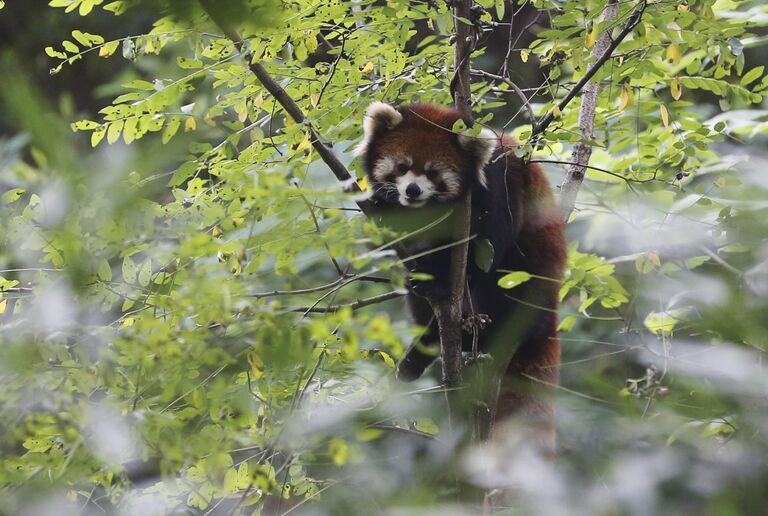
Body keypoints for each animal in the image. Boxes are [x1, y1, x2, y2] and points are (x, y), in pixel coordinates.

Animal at [356, 102, 568, 452]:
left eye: (433, 172)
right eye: (402, 166)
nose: (412, 190)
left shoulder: (499, 187)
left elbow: (487, 245)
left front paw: (440, 277)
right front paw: (381, 206)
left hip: (525, 282)